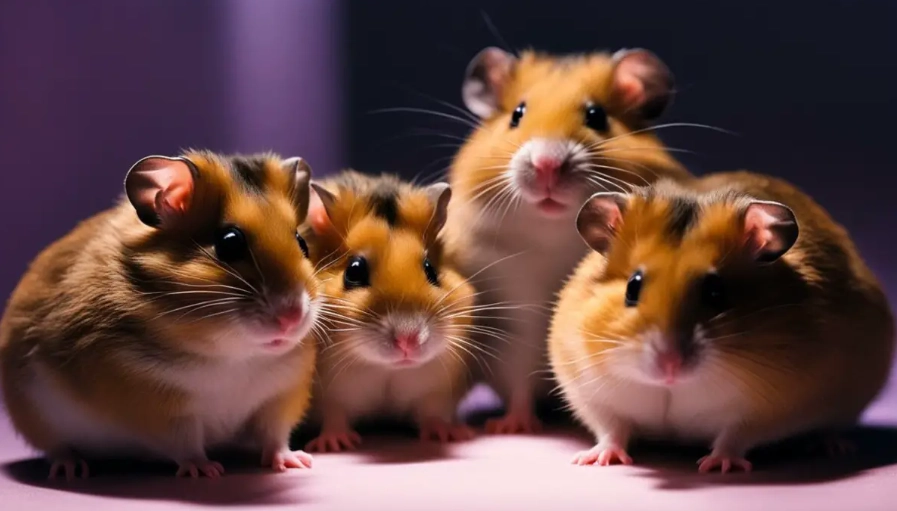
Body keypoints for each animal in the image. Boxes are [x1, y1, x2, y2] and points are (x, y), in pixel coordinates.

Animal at [0, 151, 323, 479]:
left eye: (301, 242)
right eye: (229, 242)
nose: (292, 318)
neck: (235, 357)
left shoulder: (279, 398)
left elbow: (275, 436)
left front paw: (297, 462)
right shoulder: (162, 407)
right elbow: (187, 444)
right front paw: (207, 471)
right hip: (35, 417)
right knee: (57, 448)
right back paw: (72, 469)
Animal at [300, 170, 477, 452]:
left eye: (430, 269)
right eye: (354, 271)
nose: (408, 341)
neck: (388, 368)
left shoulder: (436, 388)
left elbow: (433, 414)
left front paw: (451, 434)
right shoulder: (329, 394)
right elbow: (335, 416)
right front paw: (334, 445)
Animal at [442, 46, 692, 434]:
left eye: (596, 115)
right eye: (517, 114)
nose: (546, 164)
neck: (553, 234)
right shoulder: (516, 330)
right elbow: (520, 383)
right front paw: (514, 427)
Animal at [549, 171, 895, 472]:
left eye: (716, 292)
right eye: (632, 287)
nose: (670, 367)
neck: (672, 389)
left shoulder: (768, 408)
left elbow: (734, 437)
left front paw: (716, 466)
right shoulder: (590, 393)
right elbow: (612, 429)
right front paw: (593, 459)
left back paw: (834, 446)